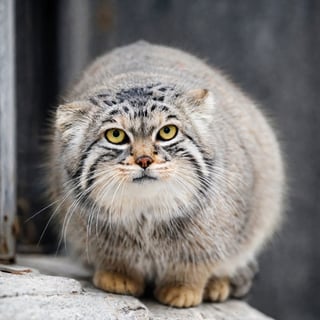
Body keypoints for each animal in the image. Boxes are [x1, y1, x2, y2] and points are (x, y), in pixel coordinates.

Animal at [48, 40, 284, 308]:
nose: (144, 160)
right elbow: (113, 259)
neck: (146, 218)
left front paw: (183, 288)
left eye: (167, 132)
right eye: (115, 135)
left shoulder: (215, 241)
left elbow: (196, 265)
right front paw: (118, 275)